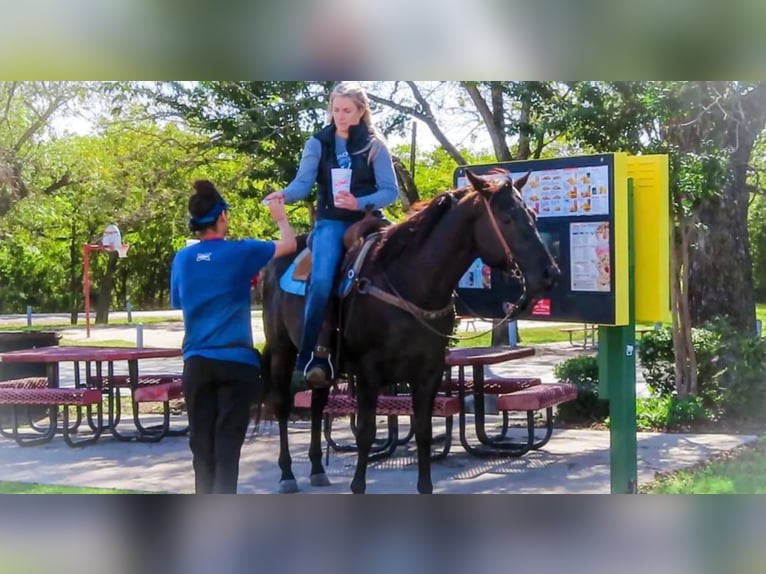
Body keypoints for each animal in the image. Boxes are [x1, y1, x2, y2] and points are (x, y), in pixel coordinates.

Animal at [260, 171, 560, 496]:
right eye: (506, 219)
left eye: (532, 216)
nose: (550, 274)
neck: (410, 283)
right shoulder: (368, 372)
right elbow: (366, 433)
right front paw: (357, 485)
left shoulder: (428, 372)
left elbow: (424, 432)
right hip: (282, 350)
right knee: (282, 406)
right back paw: (287, 474)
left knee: (317, 404)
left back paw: (317, 469)